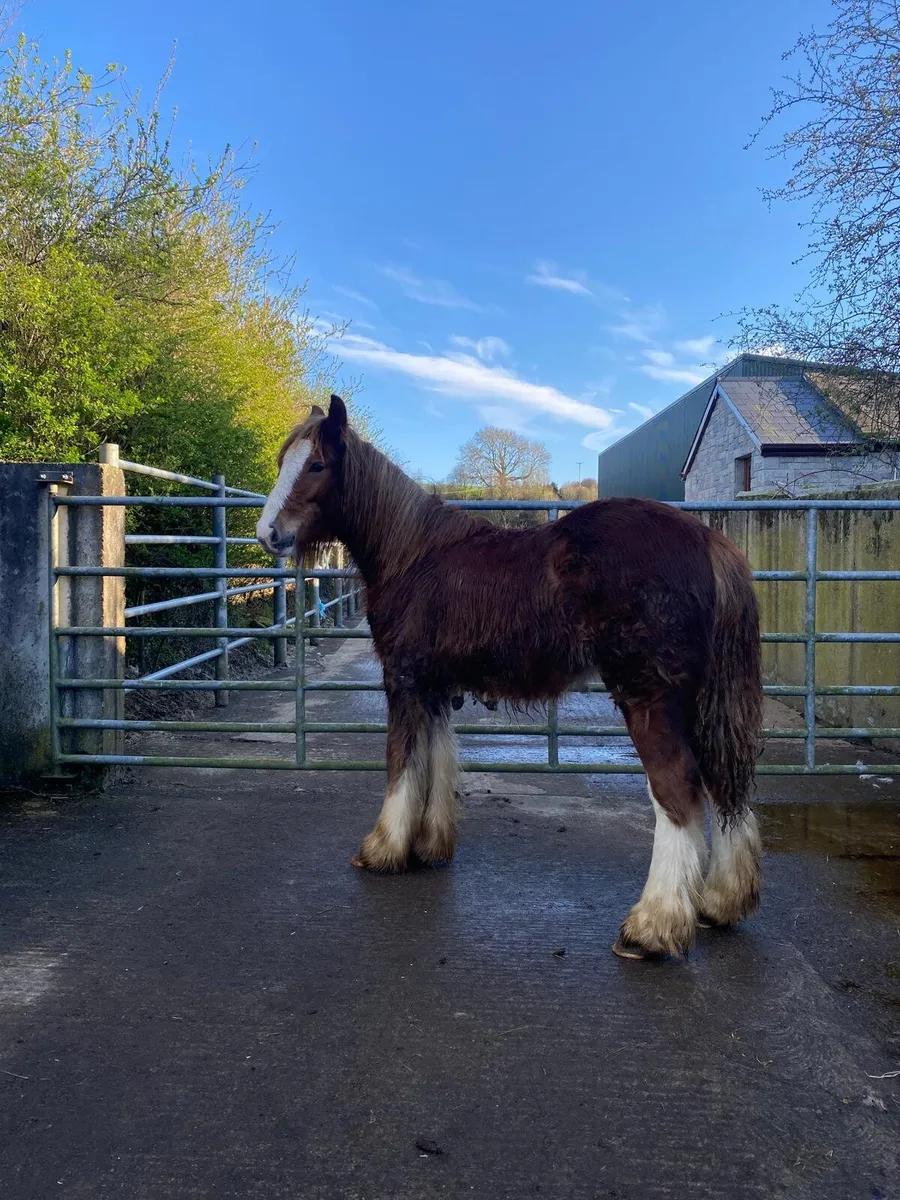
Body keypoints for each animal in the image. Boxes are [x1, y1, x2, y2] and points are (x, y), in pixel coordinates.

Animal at [257, 395, 763, 959]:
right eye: (283, 461)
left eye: (317, 465)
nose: (268, 534)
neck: (413, 556)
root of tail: (708, 540)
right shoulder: (434, 688)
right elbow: (436, 757)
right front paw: (429, 845)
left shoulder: (404, 681)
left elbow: (401, 764)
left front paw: (383, 849)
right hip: (700, 704)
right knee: (723, 784)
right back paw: (719, 903)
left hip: (649, 699)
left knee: (678, 791)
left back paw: (652, 927)